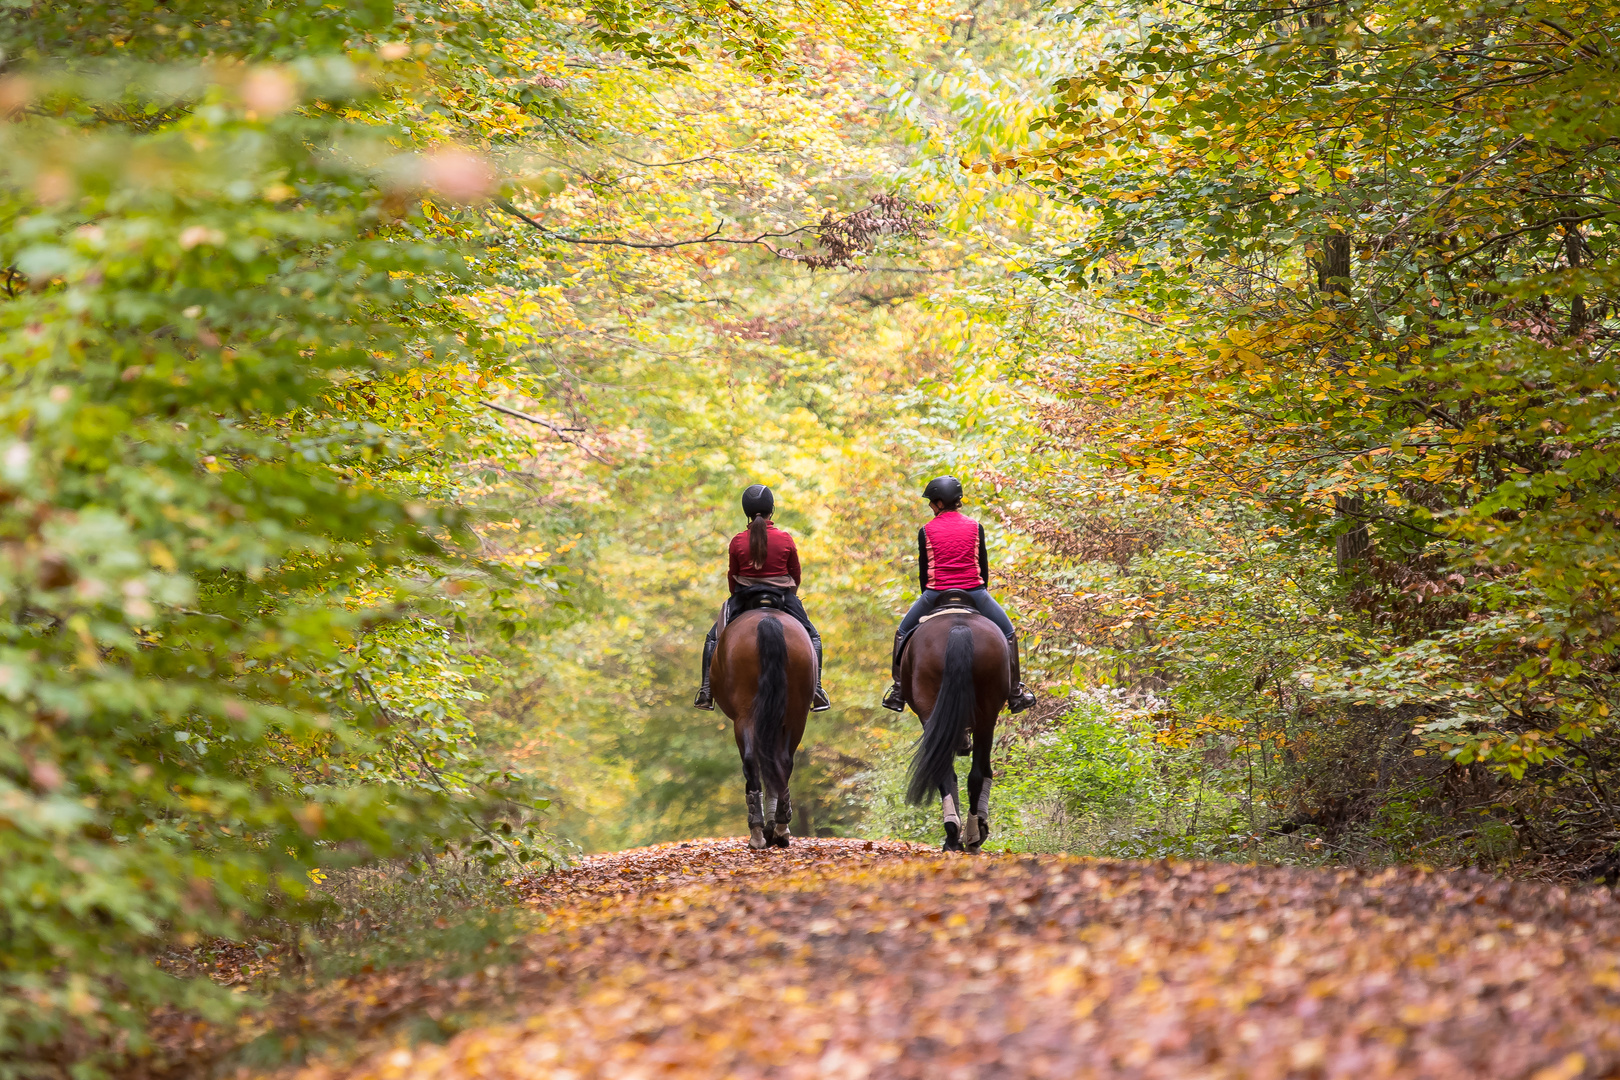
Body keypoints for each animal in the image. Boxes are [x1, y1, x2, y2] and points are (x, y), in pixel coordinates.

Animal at [709, 608, 816, 841]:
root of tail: (767, 620)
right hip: (795, 715)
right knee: (782, 762)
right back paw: (779, 826)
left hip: (746, 716)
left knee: (753, 760)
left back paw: (759, 830)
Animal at [900, 608, 1010, 854]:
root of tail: (958, 628)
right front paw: (979, 829)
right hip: (987, 716)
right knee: (978, 773)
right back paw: (972, 836)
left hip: (931, 710)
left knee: (943, 769)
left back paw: (953, 835)